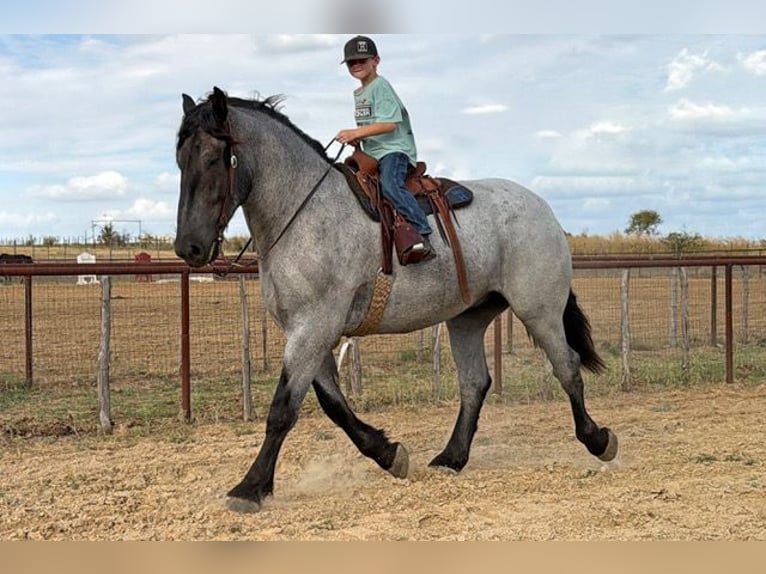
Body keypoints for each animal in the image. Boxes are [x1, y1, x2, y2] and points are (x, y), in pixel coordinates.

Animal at [174, 87, 618, 512]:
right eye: (180, 160)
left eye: (213, 159)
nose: (188, 248)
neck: (304, 213)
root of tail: (544, 210)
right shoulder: (306, 333)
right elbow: (333, 405)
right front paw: (389, 454)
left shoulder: (313, 328)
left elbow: (283, 409)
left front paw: (250, 488)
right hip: (468, 318)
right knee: (475, 382)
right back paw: (452, 457)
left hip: (539, 310)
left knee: (567, 366)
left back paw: (597, 440)